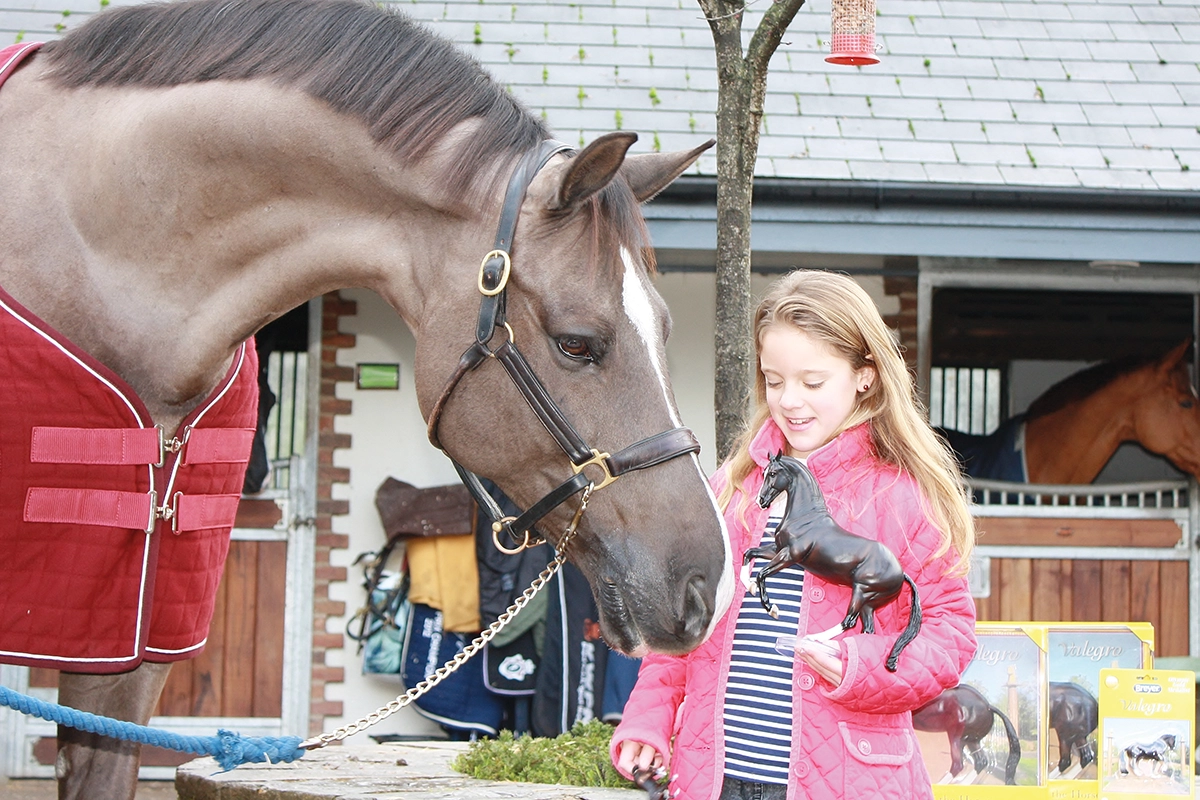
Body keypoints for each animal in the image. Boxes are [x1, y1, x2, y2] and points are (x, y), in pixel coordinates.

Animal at [745, 452, 921, 672]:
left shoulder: (789, 556)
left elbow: (761, 574)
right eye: (764, 473)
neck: (804, 517)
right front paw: (749, 586)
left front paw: (772, 608)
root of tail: (901, 573)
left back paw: (813, 640)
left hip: (861, 592)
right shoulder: (777, 550)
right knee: (867, 629)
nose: (760, 501)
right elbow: (749, 554)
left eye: (773, 473)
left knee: (849, 622)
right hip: (869, 603)